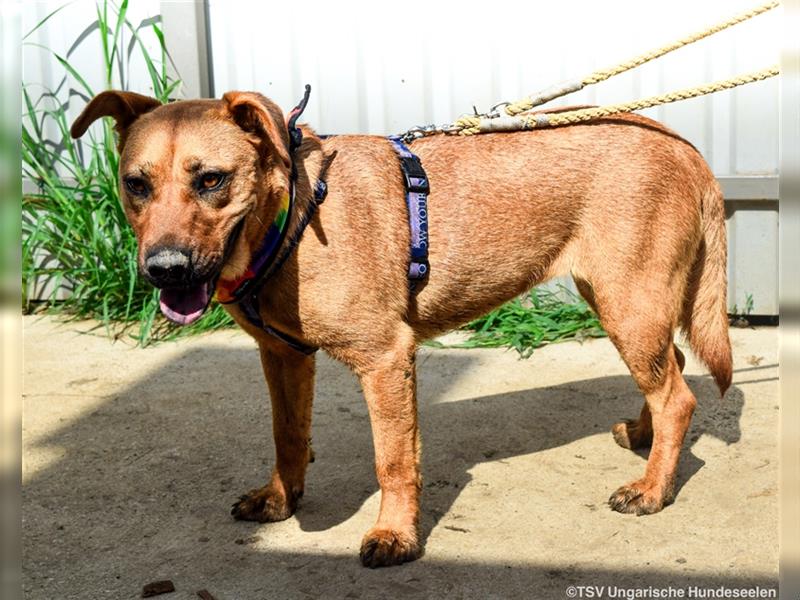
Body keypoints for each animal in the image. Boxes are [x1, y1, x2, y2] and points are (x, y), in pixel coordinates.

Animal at [72, 89, 736, 568]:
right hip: (624, 303)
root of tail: (687, 148)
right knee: (672, 370)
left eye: (211, 179)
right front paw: (281, 500)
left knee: (678, 396)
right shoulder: (283, 357)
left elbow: (392, 460)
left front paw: (395, 535)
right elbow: (288, 435)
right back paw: (646, 441)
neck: (293, 214)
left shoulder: (385, 360)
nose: (164, 270)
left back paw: (652, 490)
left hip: (629, 304)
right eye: (136, 185)